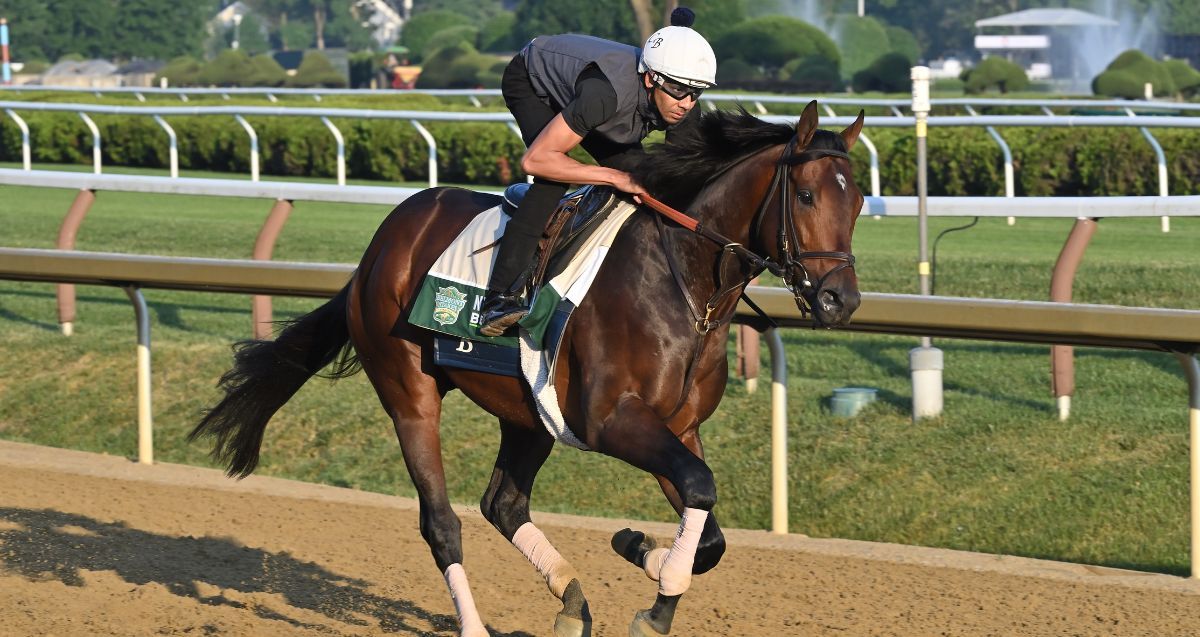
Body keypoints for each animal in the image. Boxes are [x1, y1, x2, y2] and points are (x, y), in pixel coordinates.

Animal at [189, 101, 864, 633]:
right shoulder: (611, 421)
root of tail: (378, 247)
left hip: (529, 411)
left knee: (504, 504)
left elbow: (712, 531)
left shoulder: (678, 426)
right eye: (806, 195)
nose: (841, 300)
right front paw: (654, 599)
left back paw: (572, 602)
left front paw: (639, 549)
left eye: (857, 201)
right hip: (409, 390)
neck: (686, 285)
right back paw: (474, 626)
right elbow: (700, 488)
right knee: (441, 522)